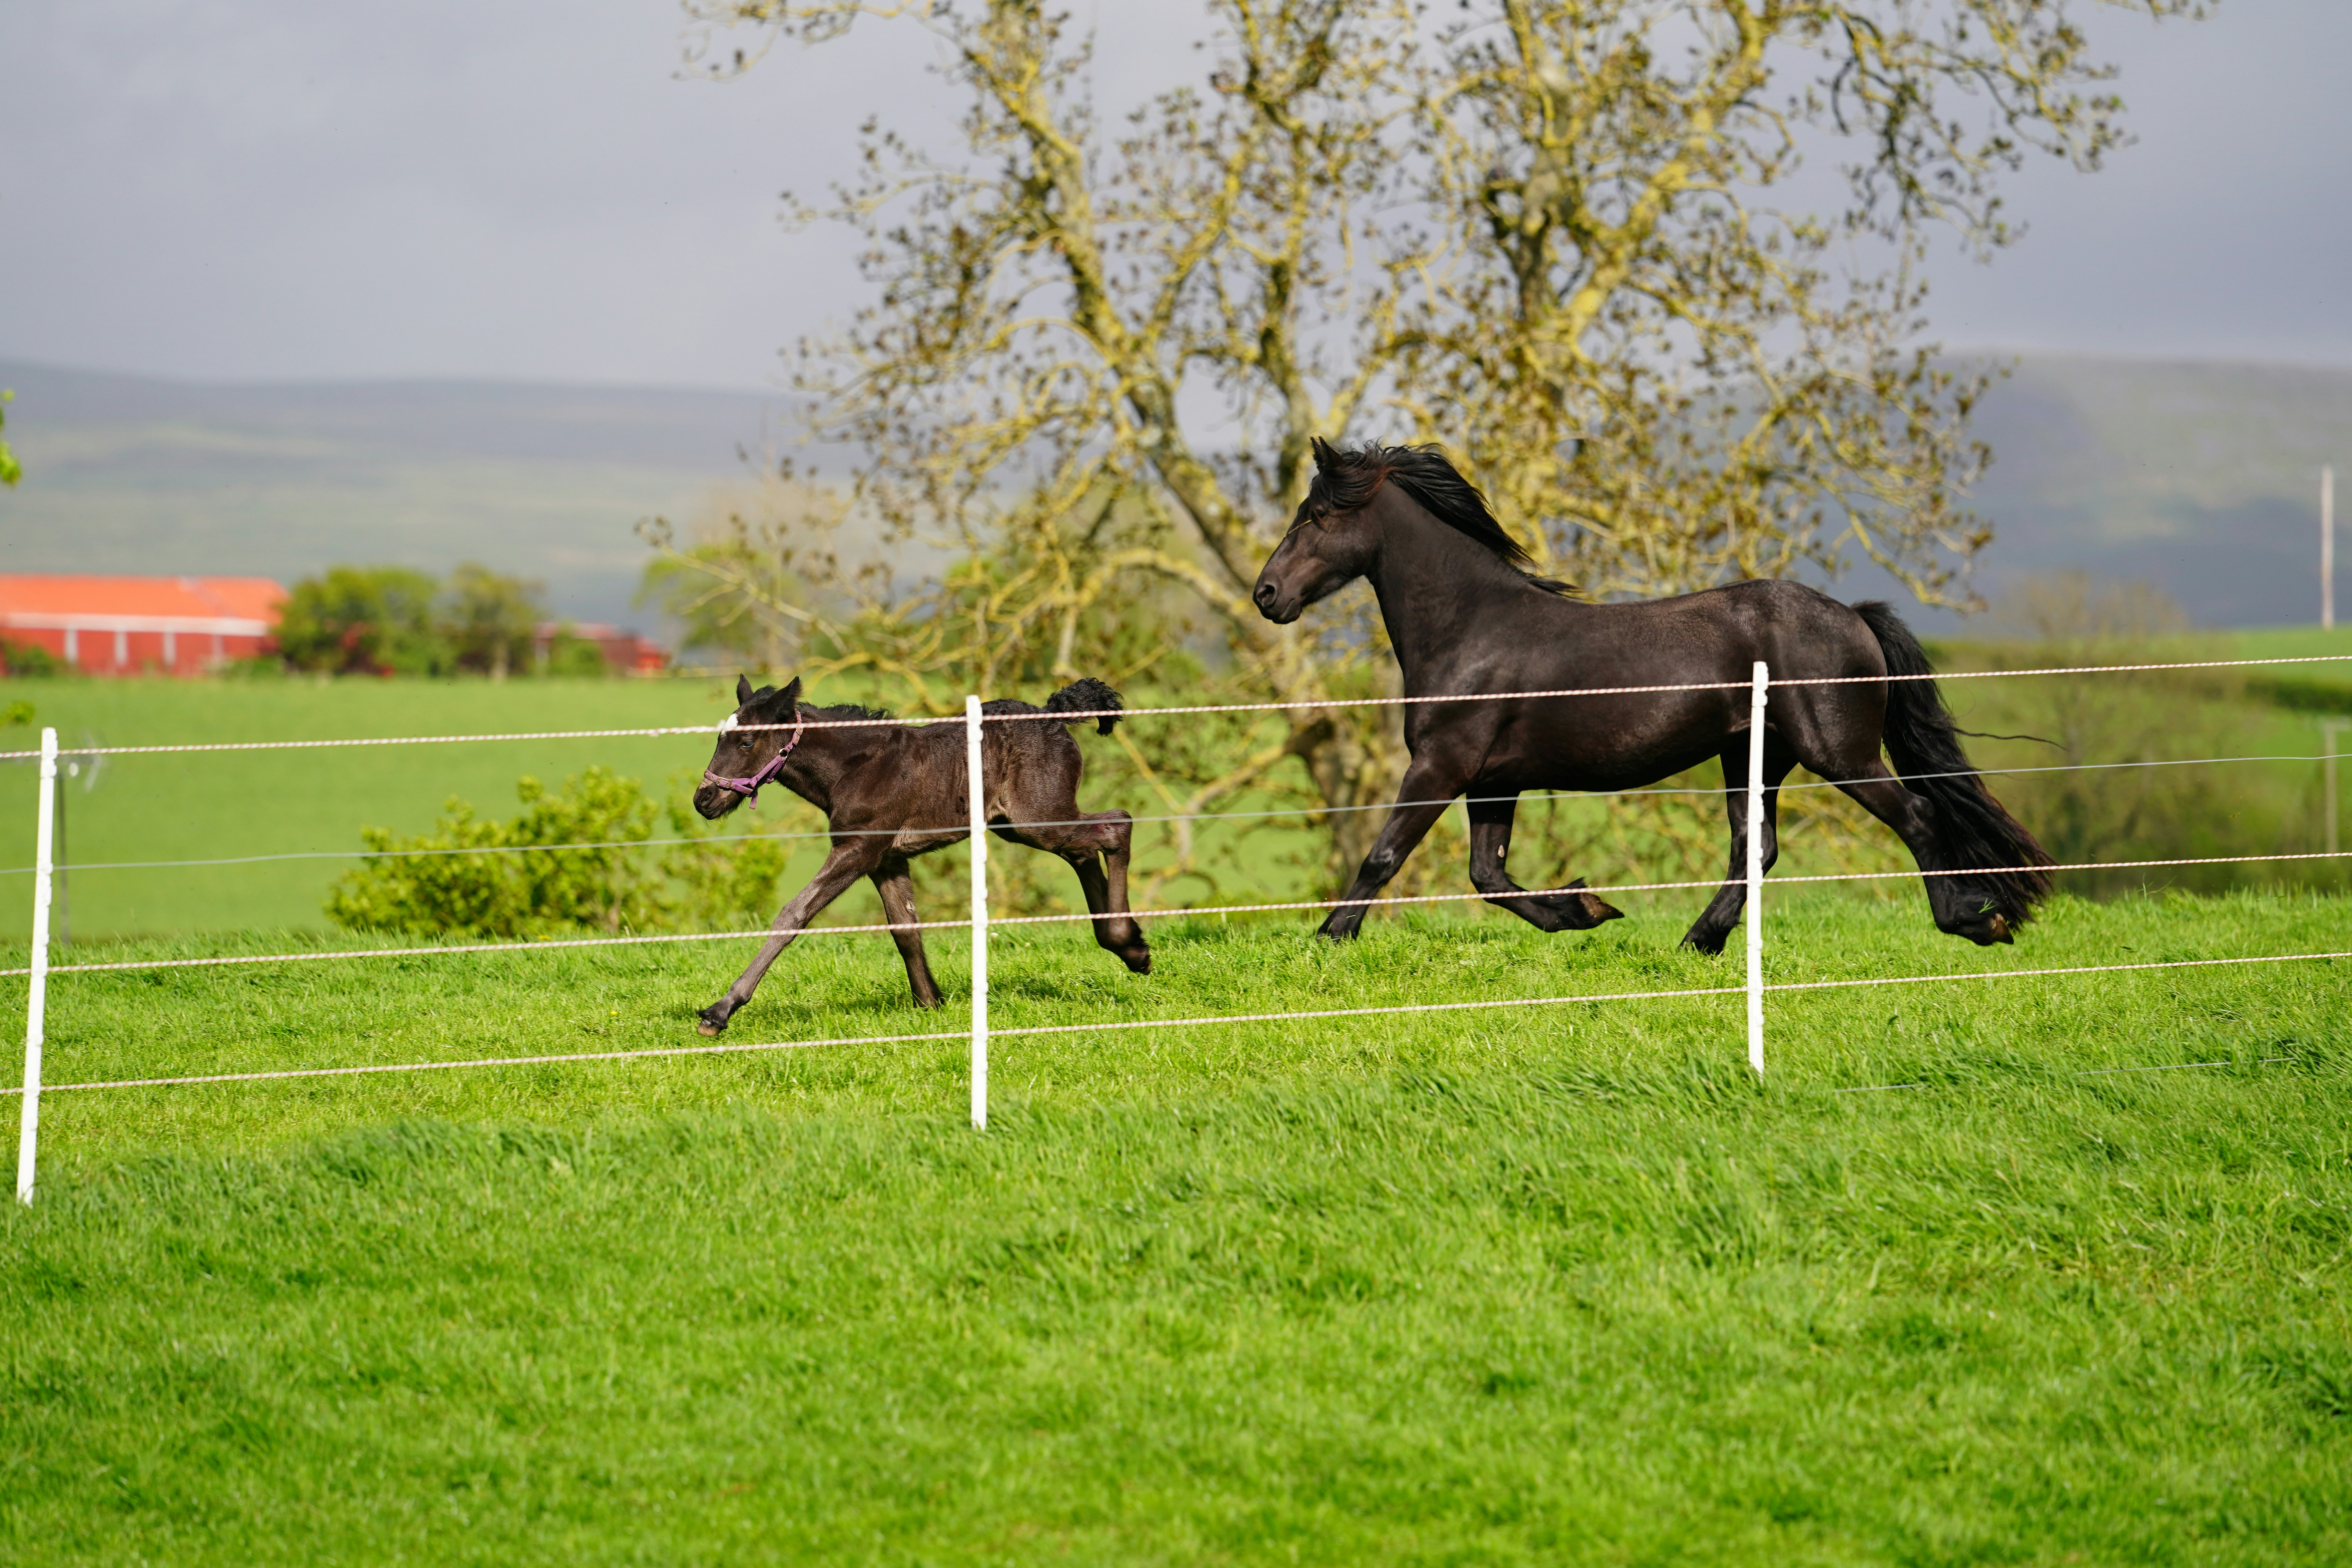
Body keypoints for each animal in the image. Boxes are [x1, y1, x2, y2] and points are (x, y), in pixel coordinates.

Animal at [687, 673, 1151, 1035]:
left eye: (747, 742)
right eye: (720, 737)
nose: (704, 800)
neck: (855, 767)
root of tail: (1051, 715)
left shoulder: (859, 849)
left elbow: (794, 914)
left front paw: (719, 1011)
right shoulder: (887, 859)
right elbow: (905, 928)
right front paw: (931, 1003)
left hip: (1038, 818)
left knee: (1116, 826)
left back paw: (1128, 942)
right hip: (1021, 826)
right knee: (1085, 851)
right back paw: (1129, 947)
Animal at [1250, 439, 2053, 952]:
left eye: (1318, 517)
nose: (1267, 595)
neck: (1471, 628)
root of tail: (1854, 616)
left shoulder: (1441, 765)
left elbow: (1384, 856)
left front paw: (1328, 939)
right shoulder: (1492, 781)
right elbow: (1489, 876)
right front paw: (1588, 909)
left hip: (1840, 755)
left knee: (1916, 815)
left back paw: (1975, 923)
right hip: (1754, 757)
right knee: (1756, 848)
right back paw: (1698, 942)